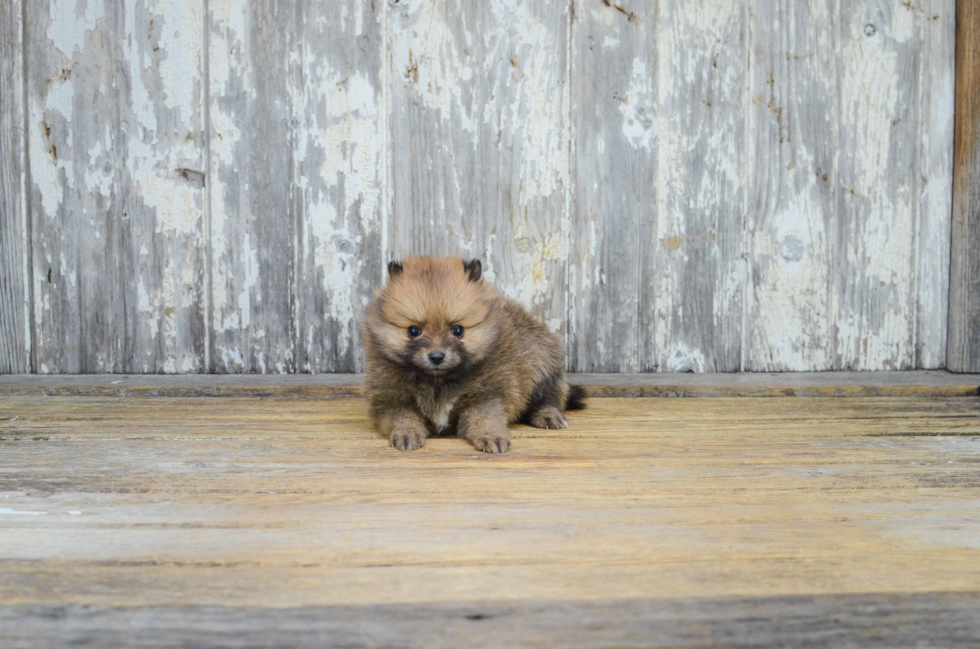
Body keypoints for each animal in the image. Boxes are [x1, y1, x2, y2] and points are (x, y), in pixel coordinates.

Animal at [364, 253, 584, 450]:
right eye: (414, 331)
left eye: (457, 330)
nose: (436, 356)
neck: (438, 382)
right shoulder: (392, 399)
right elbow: (403, 417)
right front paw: (406, 433)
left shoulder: (486, 396)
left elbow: (484, 418)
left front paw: (491, 436)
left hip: (541, 365)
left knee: (550, 399)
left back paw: (548, 416)